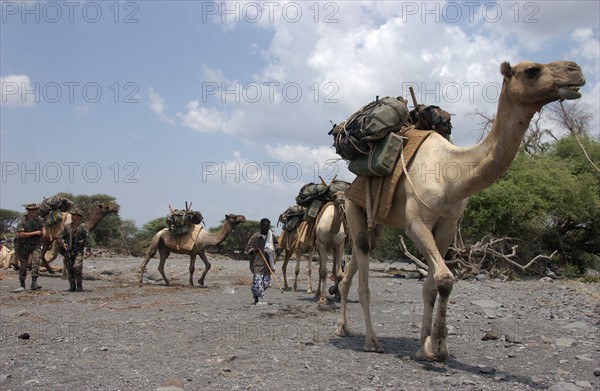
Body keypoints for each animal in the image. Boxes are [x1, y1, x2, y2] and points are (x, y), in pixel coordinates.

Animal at [336, 61, 584, 364]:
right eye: (531, 70)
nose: (575, 70)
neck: (450, 173)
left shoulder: (446, 227)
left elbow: (431, 287)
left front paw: (426, 347)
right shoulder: (416, 223)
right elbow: (444, 279)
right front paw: (437, 348)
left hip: (378, 224)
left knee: (354, 268)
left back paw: (343, 327)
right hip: (354, 208)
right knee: (363, 275)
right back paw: (372, 341)